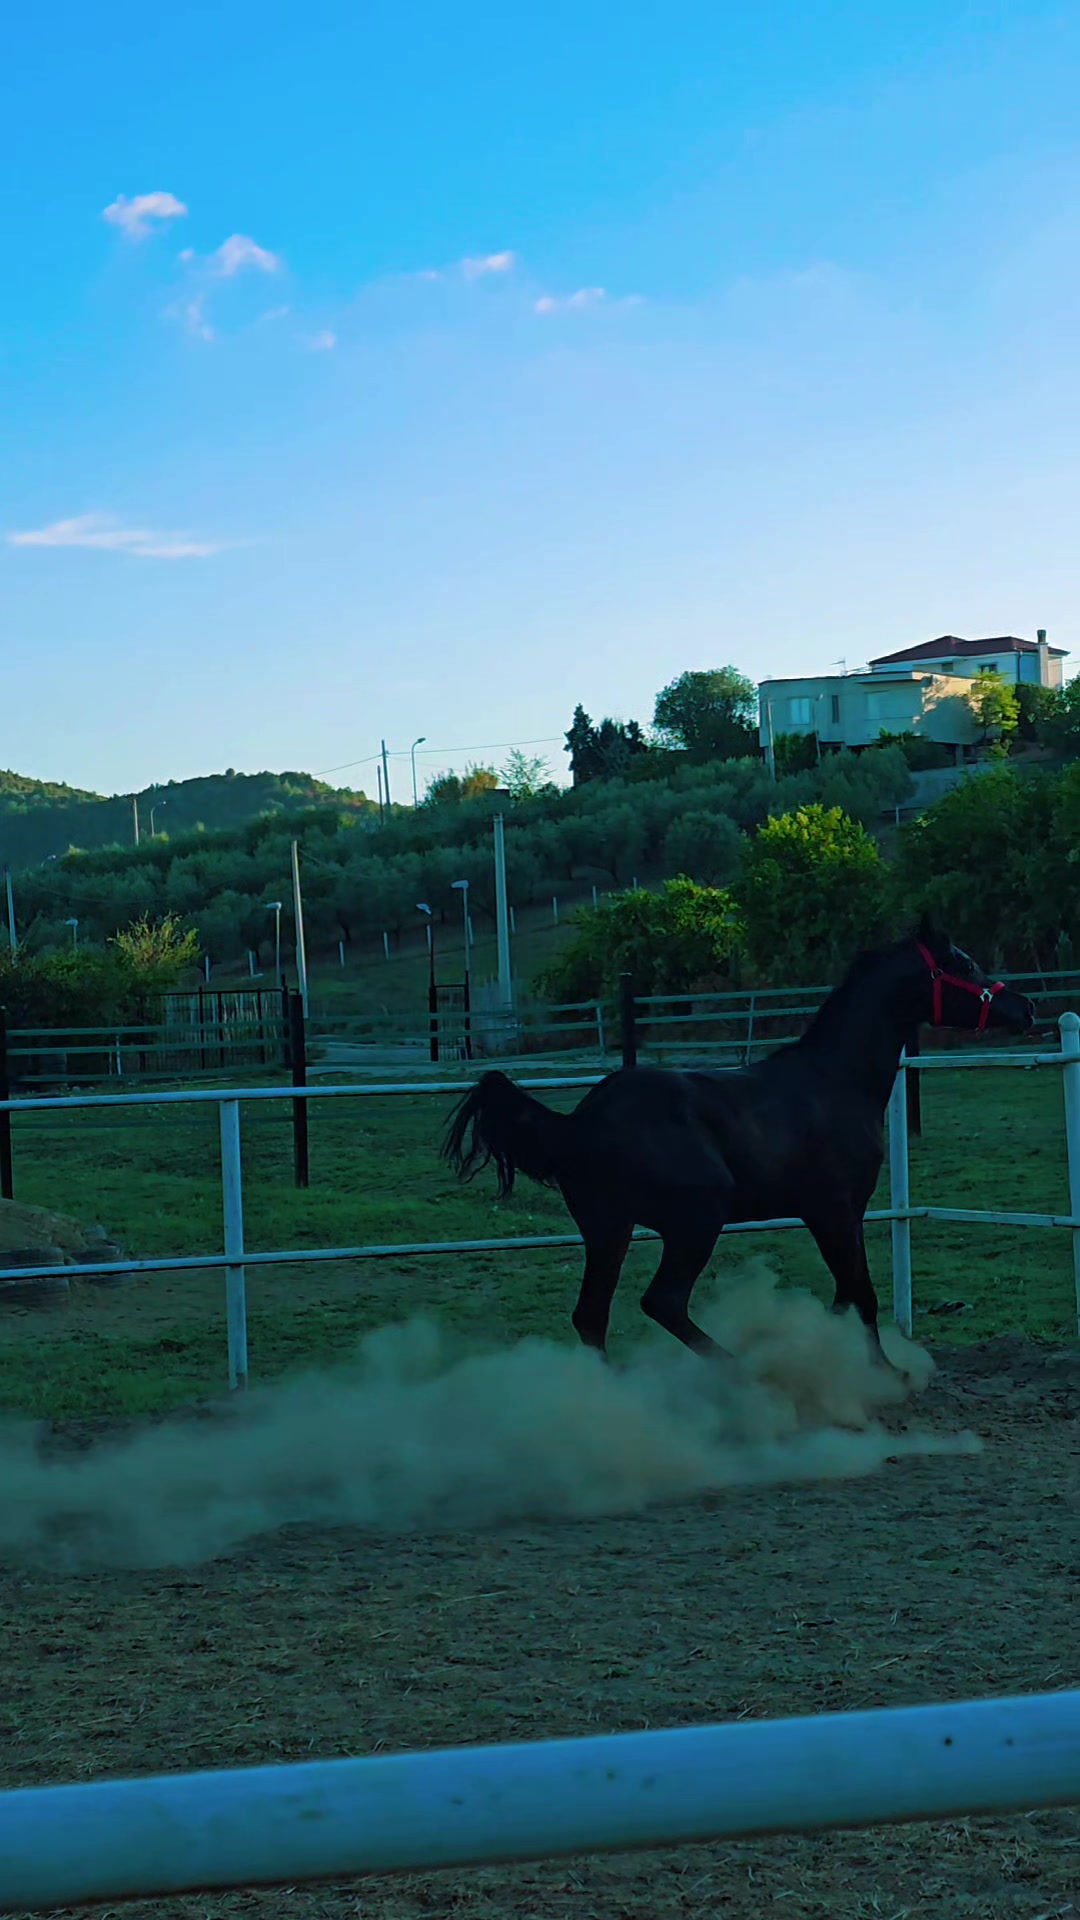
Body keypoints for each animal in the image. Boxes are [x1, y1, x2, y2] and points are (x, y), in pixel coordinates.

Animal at [442, 919, 1034, 1368]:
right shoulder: (835, 1210)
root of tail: (577, 1122)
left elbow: (845, 1295)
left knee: (592, 1315)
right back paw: (740, 1374)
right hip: (695, 1221)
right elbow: (860, 1292)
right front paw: (884, 1374)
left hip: (608, 1231)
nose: (1026, 1008)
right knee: (662, 1302)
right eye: (963, 964)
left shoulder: (828, 1215)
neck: (834, 1082)